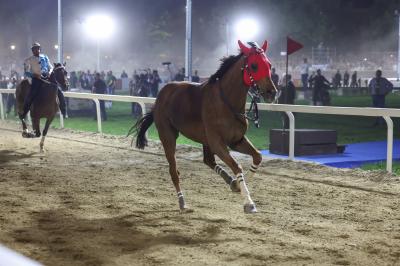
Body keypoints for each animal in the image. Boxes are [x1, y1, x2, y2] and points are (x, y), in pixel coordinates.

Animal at [130, 40, 276, 214]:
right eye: (254, 65)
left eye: (269, 64)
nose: (272, 92)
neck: (226, 102)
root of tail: (160, 96)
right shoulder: (217, 142)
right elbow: (237, 166)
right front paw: (248, 202)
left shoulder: (236, 140)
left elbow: (257, 157)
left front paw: (238, 184)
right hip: (168, 135)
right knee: (174, 170)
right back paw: (182, 202)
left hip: (204, 139)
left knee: (208, 161)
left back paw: (230, 182)